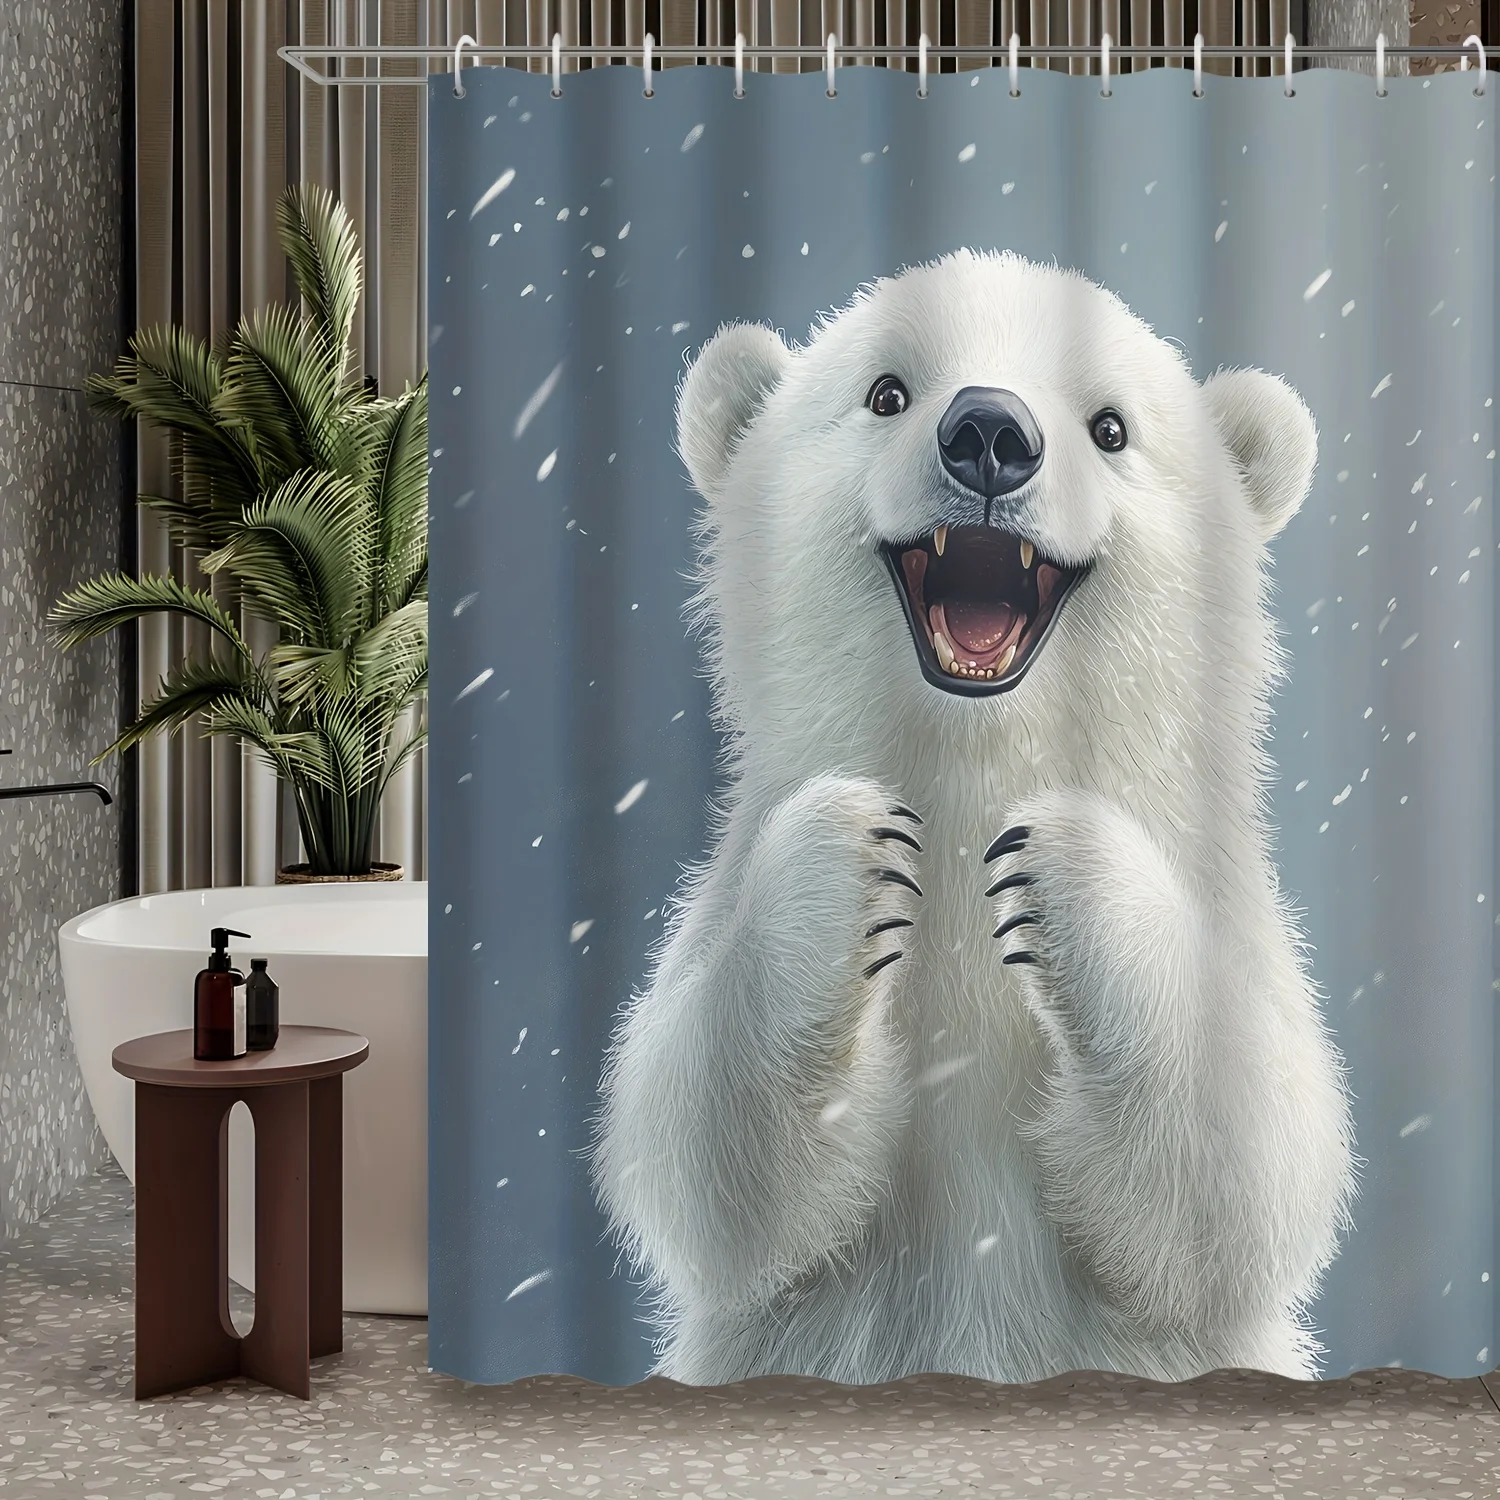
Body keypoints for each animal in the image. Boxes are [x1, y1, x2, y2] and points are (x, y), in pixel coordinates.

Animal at [591, 249, 1355, 1387]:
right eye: (886, 392)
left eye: (1111, 426)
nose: (989, 431)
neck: (973, 768)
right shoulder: (721, 896)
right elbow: (703, 1158)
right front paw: (846, 862)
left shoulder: (1226, 896)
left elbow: (1252, 1166)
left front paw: (1064, 872)